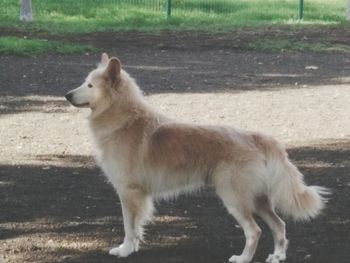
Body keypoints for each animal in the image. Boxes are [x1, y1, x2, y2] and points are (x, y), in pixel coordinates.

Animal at [65, 53, 328, 263]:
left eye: (89, 85)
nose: (67, 95)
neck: (124, 119)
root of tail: (255, 137)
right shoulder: (137, 195)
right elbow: (137, 226)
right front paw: (133, 247)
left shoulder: (129, 192)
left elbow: (129, 226)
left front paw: (125, 250)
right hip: (258, 199)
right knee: (279, 225)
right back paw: (277, 256)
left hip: (235, 198)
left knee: (255, 231)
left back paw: (243, 258)